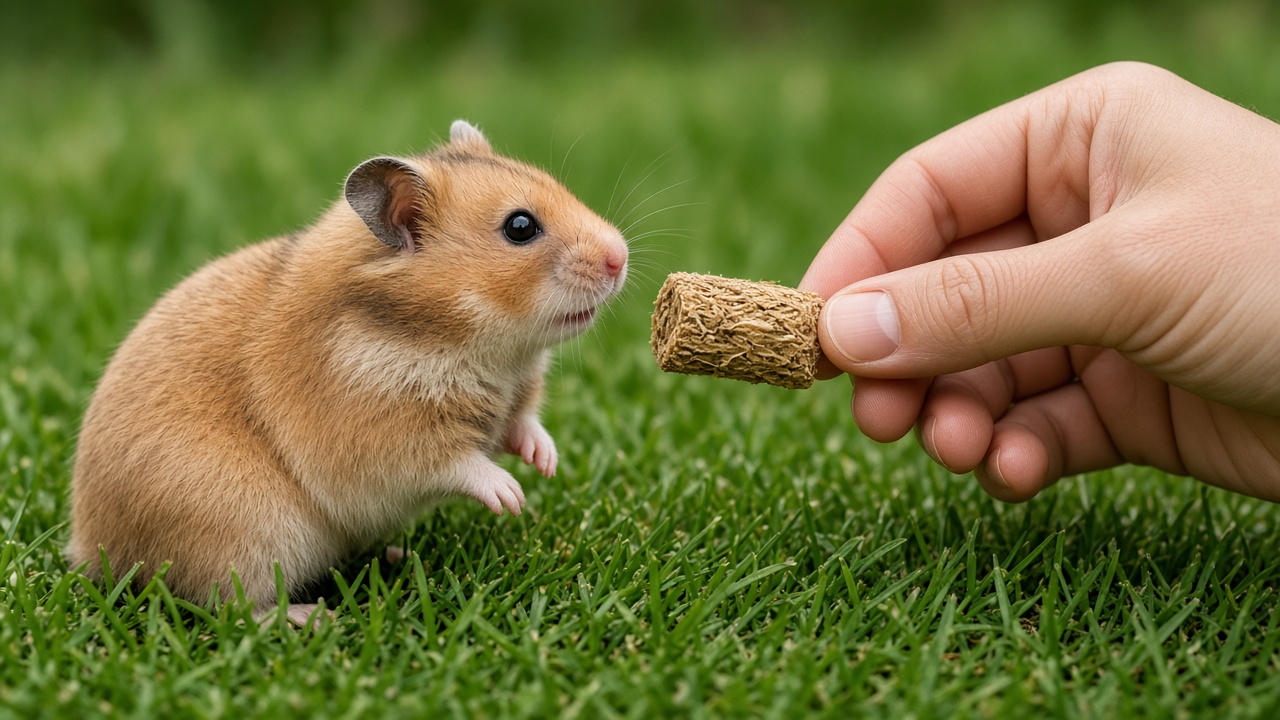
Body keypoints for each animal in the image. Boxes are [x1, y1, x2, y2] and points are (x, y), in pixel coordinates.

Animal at [68, 121, 628, 623]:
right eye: (520, 227)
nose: (620, 257)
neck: (476, 344)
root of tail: (91, 548)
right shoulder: (387, 439)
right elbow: (460, 464)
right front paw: (513, 497)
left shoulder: (515, 395)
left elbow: (524, 424)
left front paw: (547, 462)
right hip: (243, 536)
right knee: (230, 606)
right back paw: (315, 617)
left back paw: (394, 557)